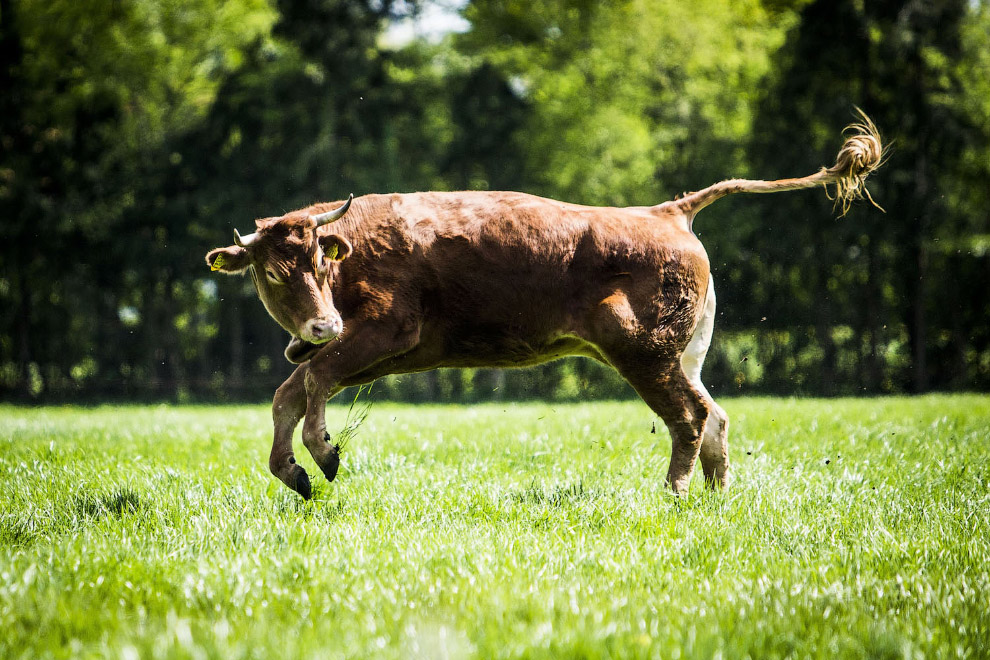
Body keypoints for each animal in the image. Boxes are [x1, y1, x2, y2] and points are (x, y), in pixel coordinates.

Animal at [207, 113, 884, 498]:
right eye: (274, 271)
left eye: (323, 262)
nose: (323, 323)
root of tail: (667, 212)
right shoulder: (376, 351)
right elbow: (293, 389)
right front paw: (293, 472)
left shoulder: (385, 334)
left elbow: (313, 380)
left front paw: (322, 455)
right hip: (681, 356)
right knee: (713, 415)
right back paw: (716, 499)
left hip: (646, 356)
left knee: (689, 419)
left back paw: (674, 493)